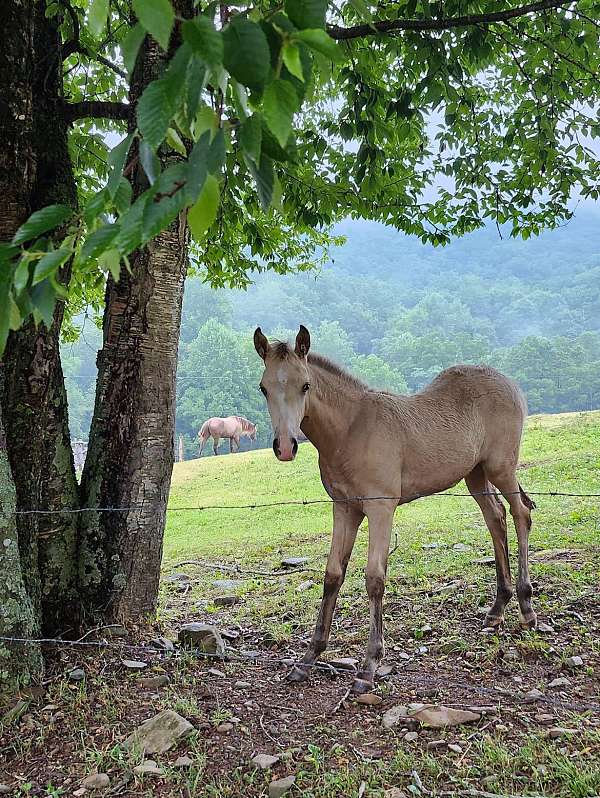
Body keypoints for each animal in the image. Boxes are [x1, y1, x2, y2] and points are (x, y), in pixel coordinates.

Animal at [253, 324, 536, 692]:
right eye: (264, 388)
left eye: (305, 385)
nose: (285, 447)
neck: (350, 431)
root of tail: (510, 382)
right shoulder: (344, 508)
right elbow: (332, 575)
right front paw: (308, 658)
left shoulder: (380, 509)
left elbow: (374, 578)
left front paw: (369, 666)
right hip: (475, 474)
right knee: (496, 517)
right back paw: (497, 608)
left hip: (502, 468)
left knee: (521, 513)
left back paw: (527, 607)